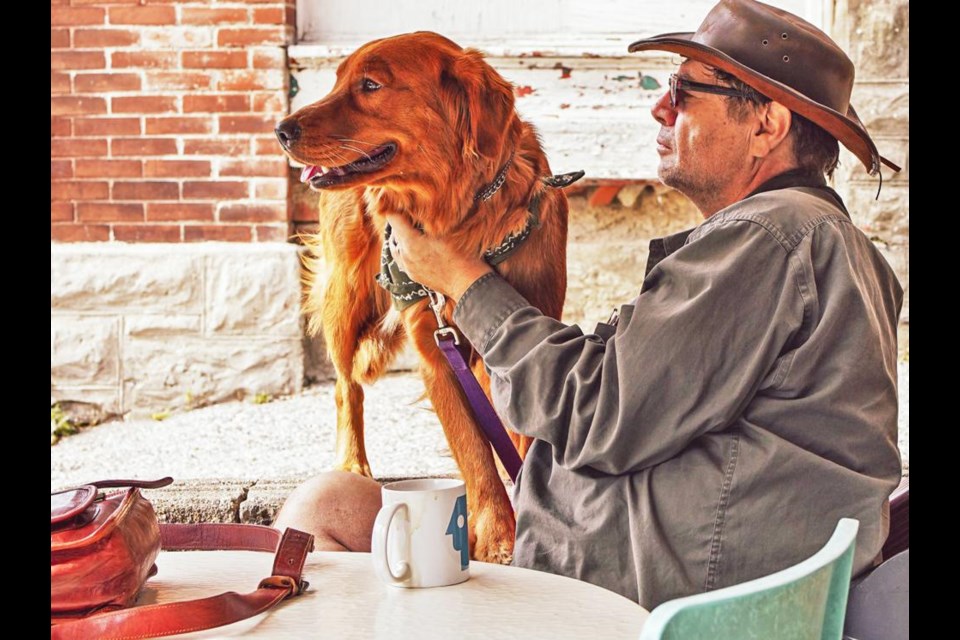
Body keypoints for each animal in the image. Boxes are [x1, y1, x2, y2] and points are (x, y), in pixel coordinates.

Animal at [274, 30, 568, 564]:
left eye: (370, 85)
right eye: (337, 79)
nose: (281, 129)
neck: (458, 215)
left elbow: (519, 430)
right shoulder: (436, 349)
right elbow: (473, 452)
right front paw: (497, 535)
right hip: (346, 293)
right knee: (345, 386)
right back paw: (352, 462)